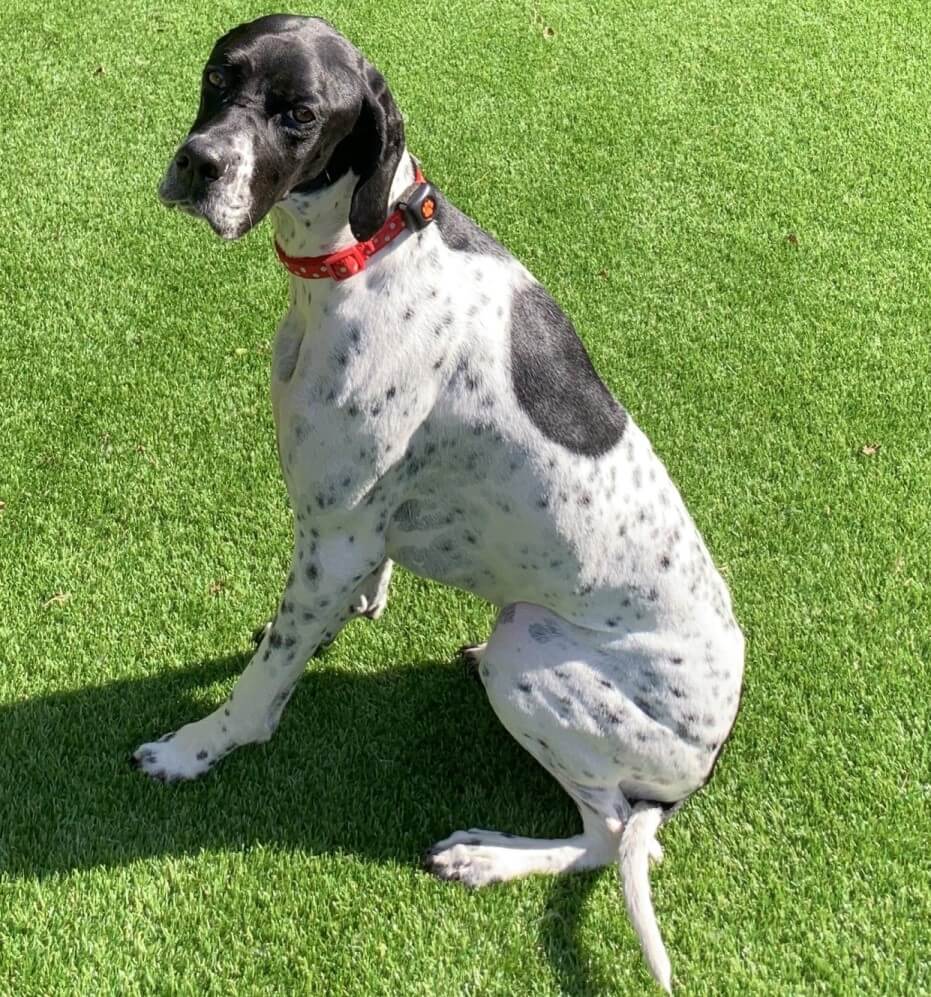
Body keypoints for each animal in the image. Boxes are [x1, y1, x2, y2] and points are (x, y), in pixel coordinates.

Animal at [135, 13, 748, 988]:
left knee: (613, 837)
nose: (200, 164)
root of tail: (710, 754)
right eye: (217, 77)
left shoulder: (335, 534)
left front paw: (198, 746)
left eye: (299, 114)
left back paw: (484, 856)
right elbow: (314, 616)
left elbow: (263, 682)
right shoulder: (348, 539)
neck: (368, 248)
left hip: (531, 655)